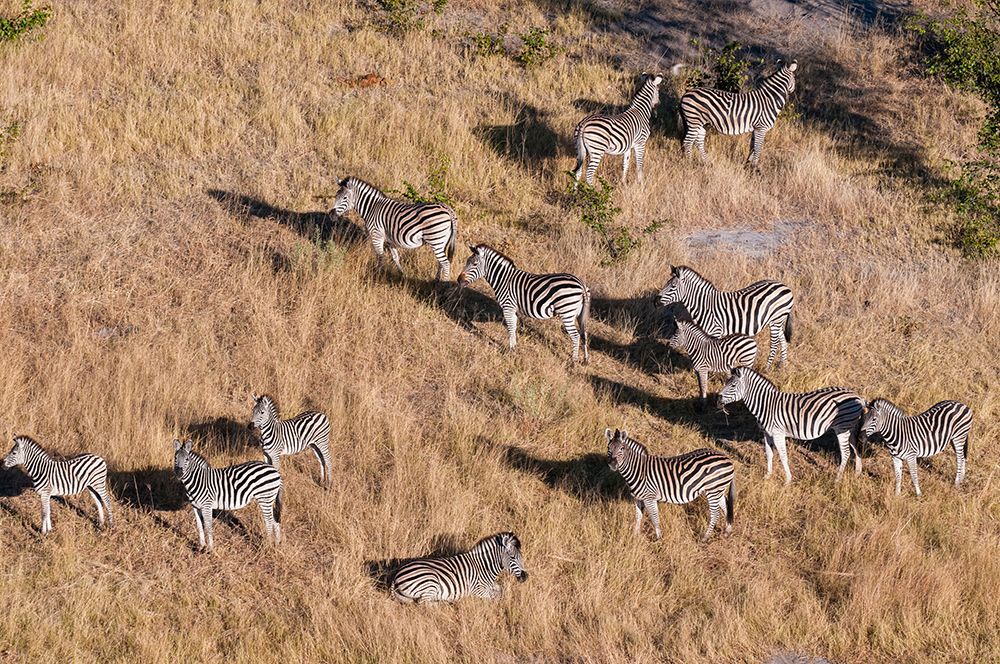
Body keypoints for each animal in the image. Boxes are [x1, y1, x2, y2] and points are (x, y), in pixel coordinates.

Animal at [390, 532, 528, 603]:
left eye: (521, 557)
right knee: (424, 602)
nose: (525, 577)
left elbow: (500, 590)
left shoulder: (491, 585)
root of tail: (396, 576)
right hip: (430, 581)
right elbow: (494, 597)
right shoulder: (478, 590)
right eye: (513, 557)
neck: (485, 567)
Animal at [458, 243, 591, 364]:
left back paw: (573, 361)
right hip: (580, 314)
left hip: (566, 312)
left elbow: (510, 328)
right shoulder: (514, 310)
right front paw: (514, 348)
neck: (504, 280)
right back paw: (585, 360)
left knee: (575, 336)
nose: (459, 280)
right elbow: (514, 328)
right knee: (584, 334)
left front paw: (511, 351)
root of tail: (581, 285)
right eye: (467, 262)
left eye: (474, 264)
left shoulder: (508, 307)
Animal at [605, 429, 735, 542]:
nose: (612, 464)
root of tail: (728, 458)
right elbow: (638, 517)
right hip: (718, 490)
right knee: (725, 506)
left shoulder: (649, 497)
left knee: (715, 514)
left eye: (622, 448)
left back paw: (705, 538)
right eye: (608, 448)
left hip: (713, 490)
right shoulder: (638, 498)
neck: (639, 470)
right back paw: (727, 532)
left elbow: (654, 518)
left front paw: (659, 539)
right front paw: (635, 536)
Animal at [658, 265, 793, 368]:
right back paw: (781, 365)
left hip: (776, 319)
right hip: (777, 320)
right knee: (782, 339)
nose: (656, 301)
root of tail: (784, 286)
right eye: (666, 284)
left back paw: (767, 368)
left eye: (673, 286)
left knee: (774, 344)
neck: (704, 305)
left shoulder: (715, 331)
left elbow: (713, 351)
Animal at [719, 367, 864, 483]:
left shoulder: (778, 433)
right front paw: (767, 476)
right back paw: (857, 474)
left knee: (846, 453)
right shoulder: (766, 433)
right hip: (850, 428)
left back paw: (837, 479)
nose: (719, 398)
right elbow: (769, 454)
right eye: (726, 383)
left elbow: (783, 456)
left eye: (733, 385)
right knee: (856, 448)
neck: (767, 405)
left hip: (842, 428)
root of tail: (857, 395)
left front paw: (788, 480)